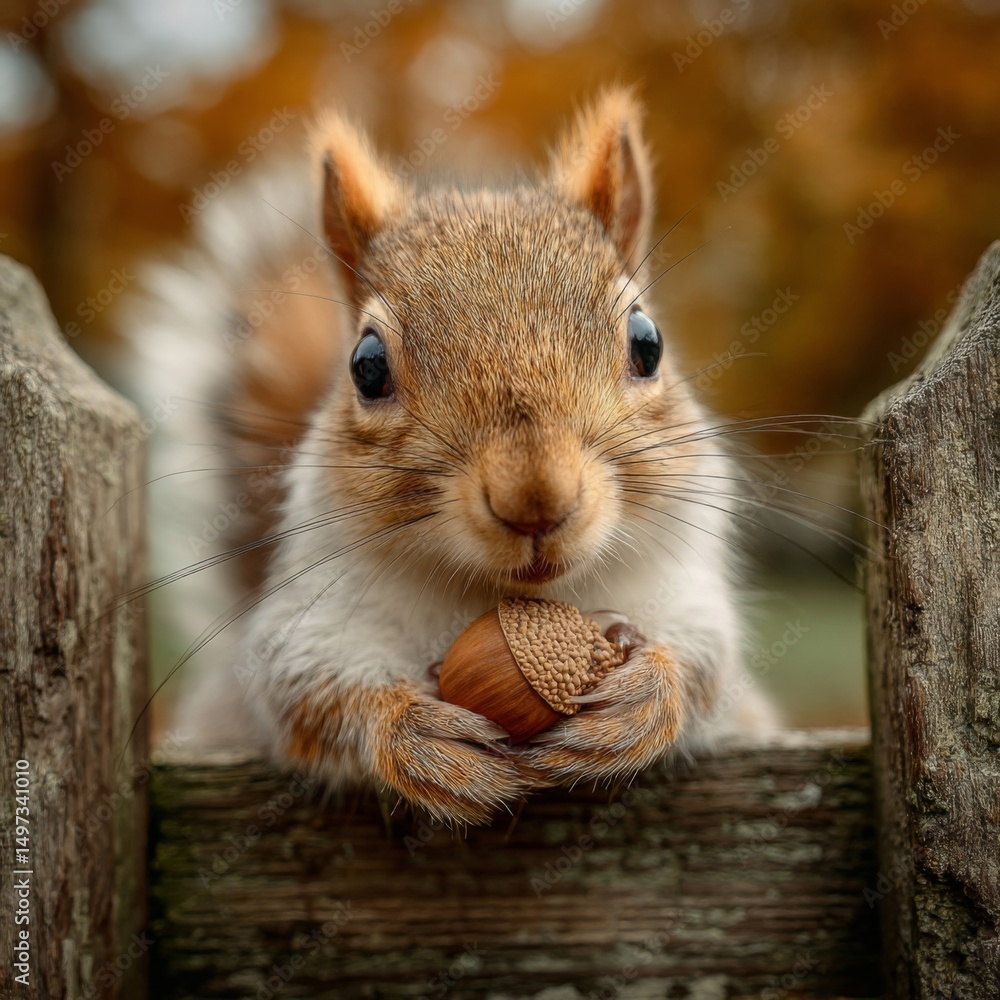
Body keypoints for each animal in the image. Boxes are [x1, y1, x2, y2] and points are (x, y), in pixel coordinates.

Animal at [131, 87, 775, 825]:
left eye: (648, 343)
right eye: (366, 366)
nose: (535, 499)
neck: (497, 596)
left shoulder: (687, 599)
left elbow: (706, 665)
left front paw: (640, 700)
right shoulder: (300, 633)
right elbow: (308, 695)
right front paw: (417, 736)